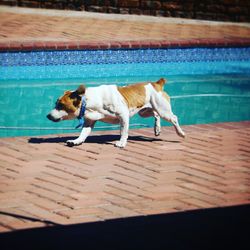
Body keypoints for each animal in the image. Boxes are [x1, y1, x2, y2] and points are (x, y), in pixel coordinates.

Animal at [47, 78, 185, 147]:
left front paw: (122, 143)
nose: (48, 115)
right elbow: (83, 133)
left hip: (163, 110)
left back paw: (180, 133)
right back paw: (157, 129)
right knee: (156, 115)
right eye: (56, 103)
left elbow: (123, 131)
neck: (90, 101)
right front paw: (76, 141)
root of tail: (156, 84)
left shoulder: (123, 116)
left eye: (61, 105)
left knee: (173, 118)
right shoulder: (89, 121)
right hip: (144, 112)